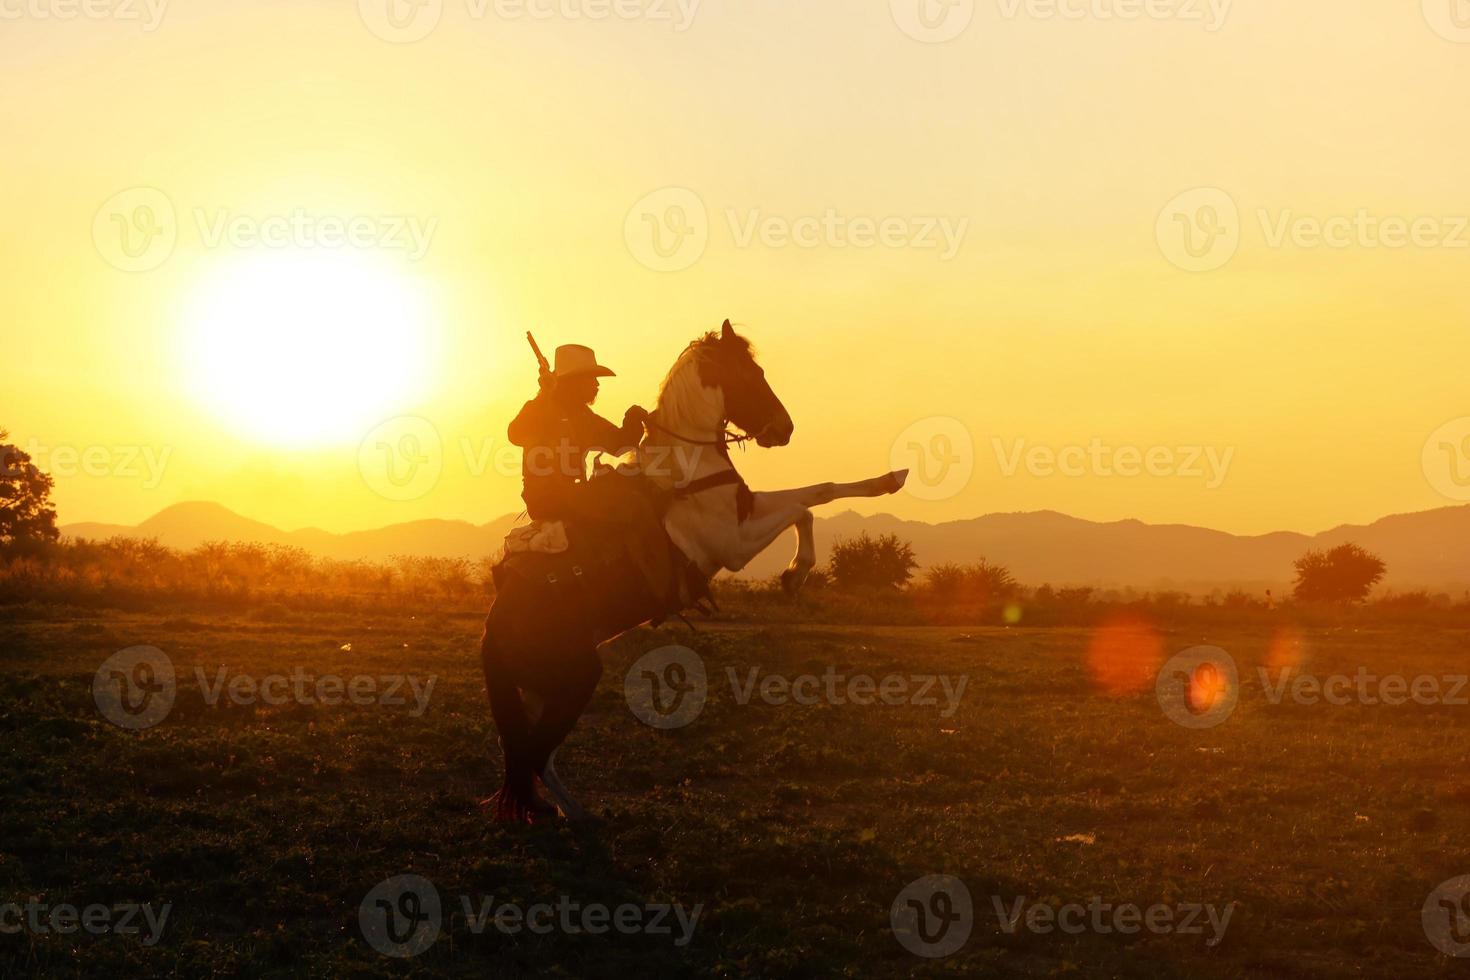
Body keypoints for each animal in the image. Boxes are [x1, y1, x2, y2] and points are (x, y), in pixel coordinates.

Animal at [482, 320, 899, 822]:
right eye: (750, 373)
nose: (784, 428)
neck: (686, 468)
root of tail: (494, 626)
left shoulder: (746, 511)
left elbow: (816, 495)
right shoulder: (735, 543)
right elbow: (808, 500)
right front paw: (797, 572)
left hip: (539, 690)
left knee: (531, 752)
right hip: (572, 679)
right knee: (535, 752)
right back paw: (569, 814)